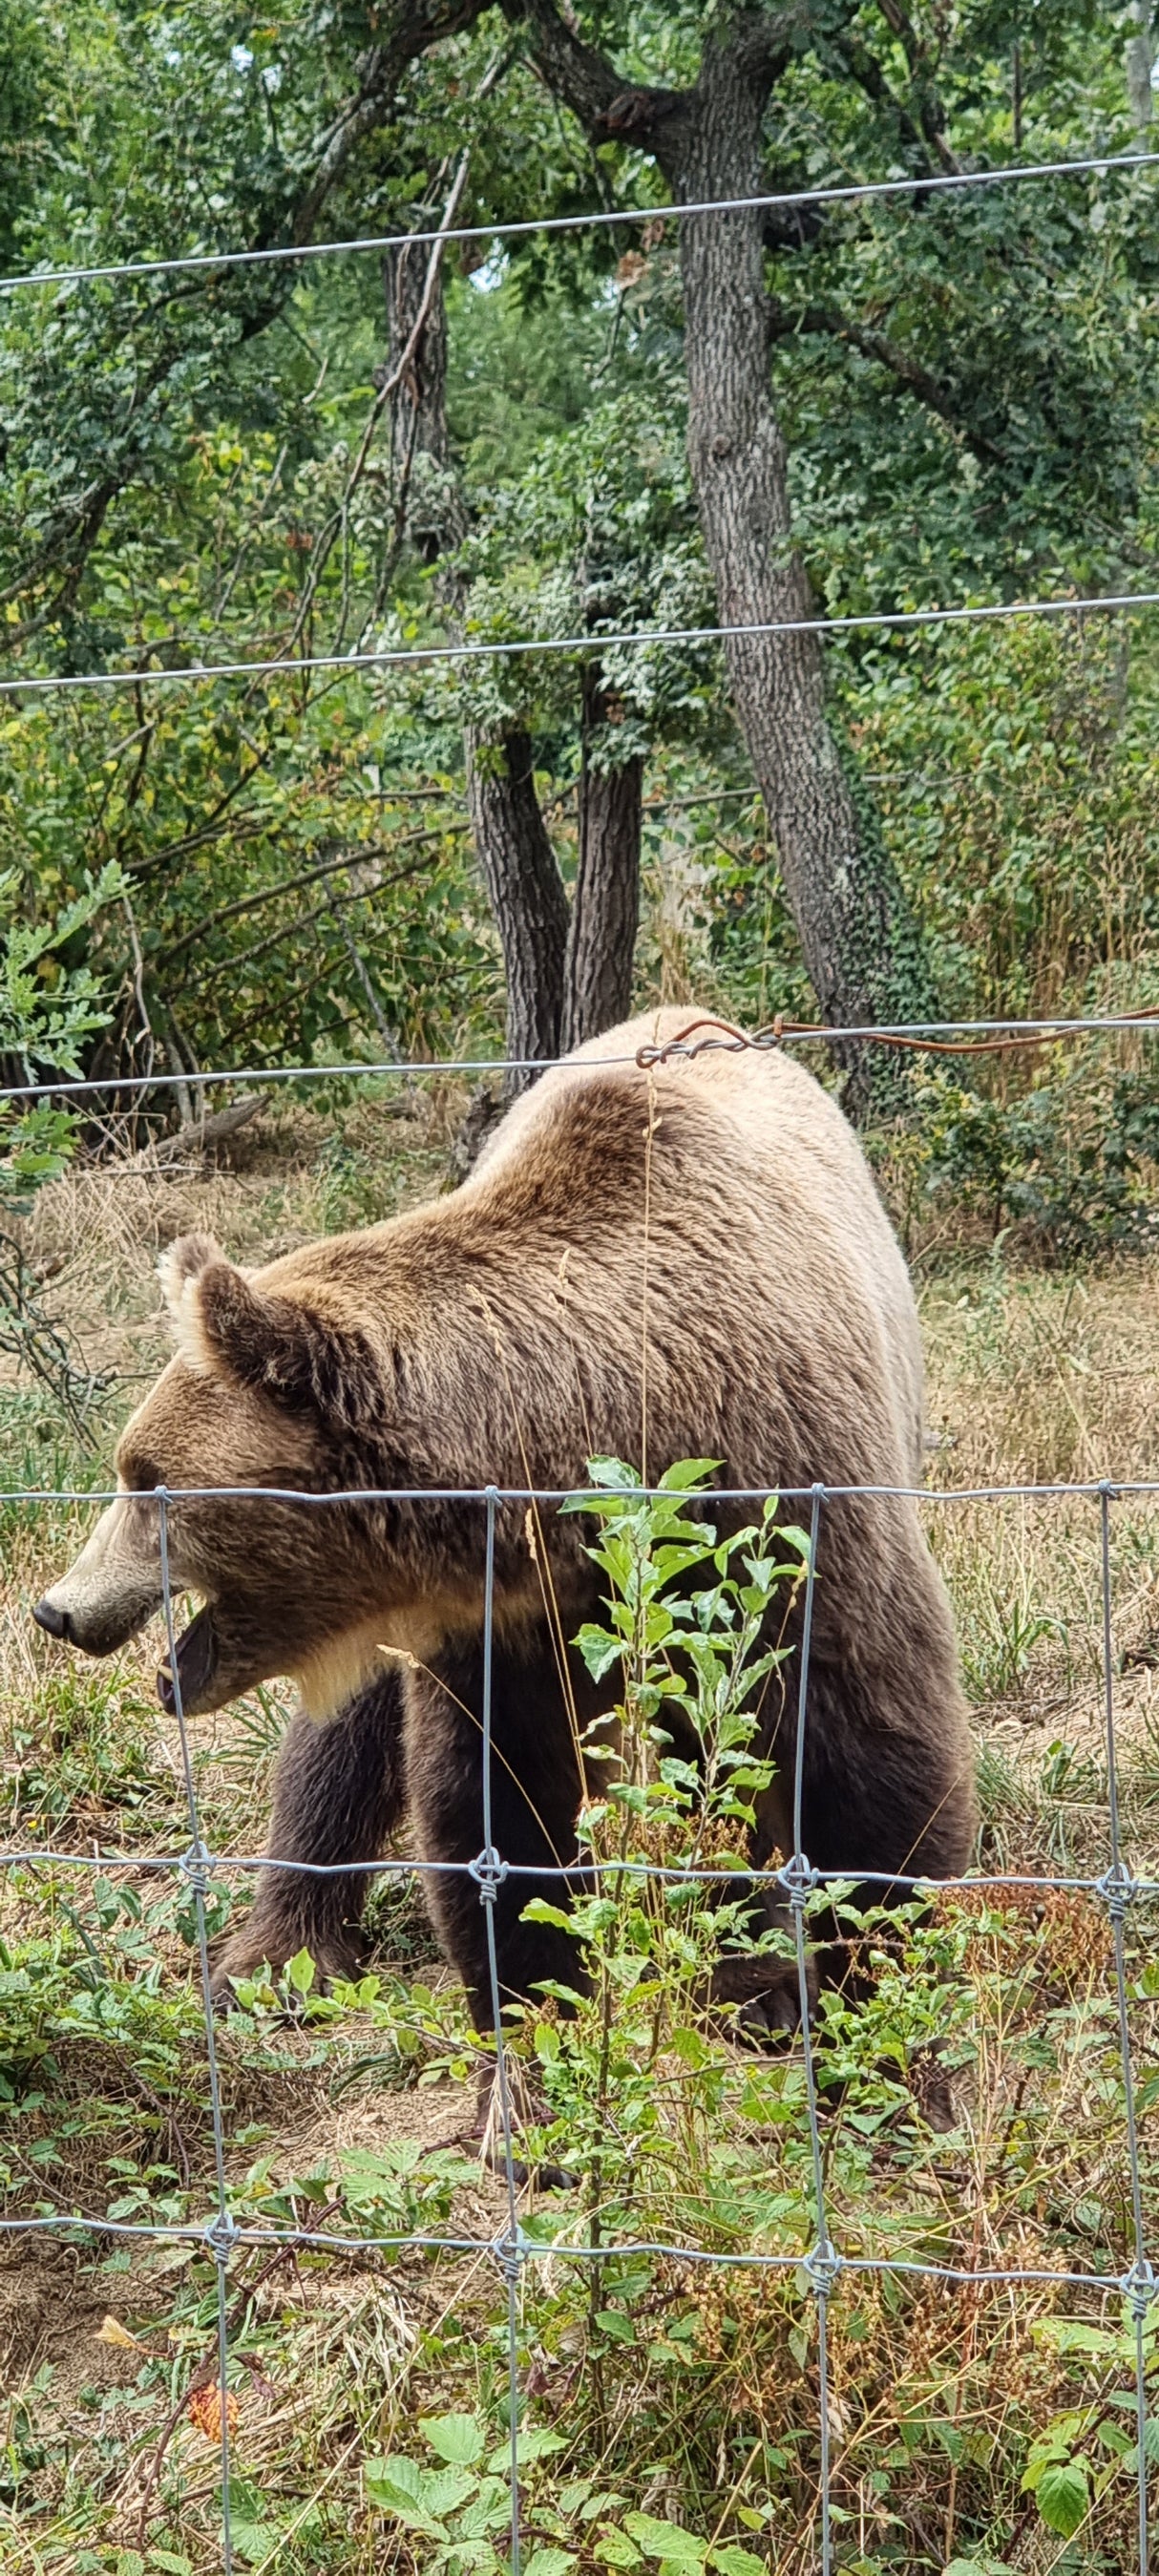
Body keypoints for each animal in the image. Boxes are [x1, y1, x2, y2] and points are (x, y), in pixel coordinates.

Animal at [33, 1004, 979, 2050]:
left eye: (142, 1480)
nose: (55, 1610)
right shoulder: (501, 1619)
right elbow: (496, 1804)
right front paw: (534, 2020)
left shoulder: (785, 1502)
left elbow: (868, 1753)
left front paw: (876, 2019)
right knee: (345, 1739)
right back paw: (275, 1954)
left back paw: (752, 1973)